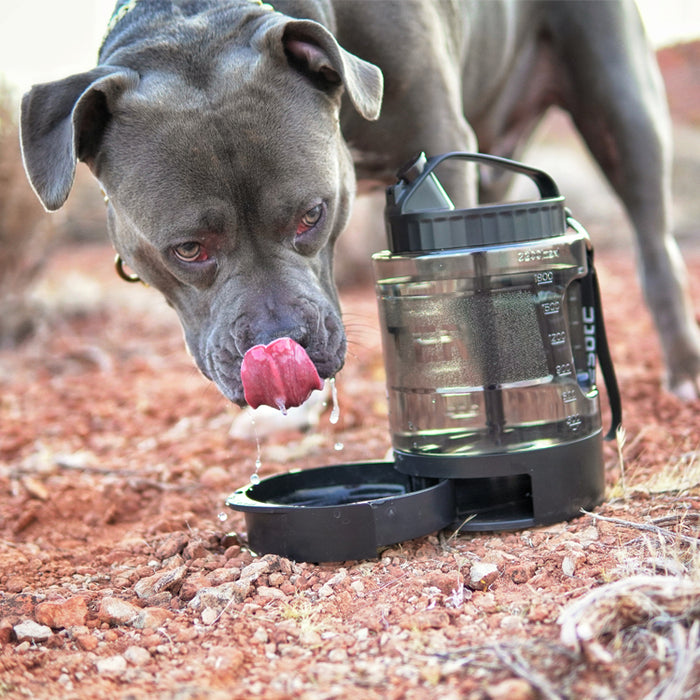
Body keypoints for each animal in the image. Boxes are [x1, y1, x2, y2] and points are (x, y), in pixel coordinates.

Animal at [19, 0, 700, 404]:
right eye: (188, 249)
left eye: (311, 215)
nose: (281, 340)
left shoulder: (441, 143)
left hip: (623, 106)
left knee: (654, 245)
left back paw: (683, 372)